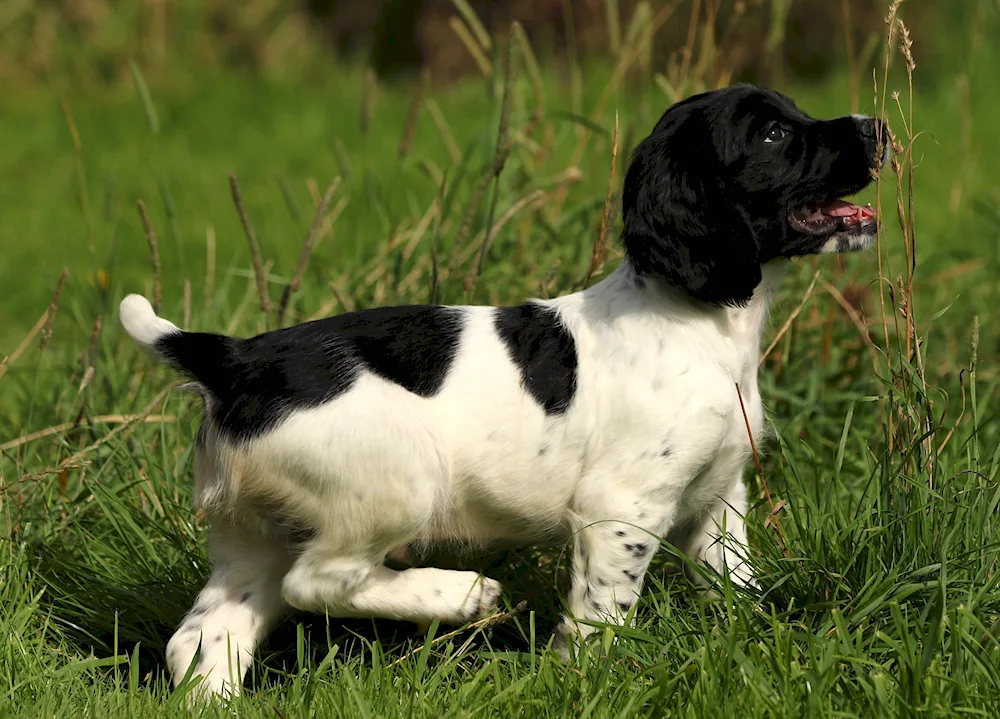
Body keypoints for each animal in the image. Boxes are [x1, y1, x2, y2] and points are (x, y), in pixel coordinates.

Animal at [119, 84, 892, 696]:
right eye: (774, 134)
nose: (878, 127)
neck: (696, 319)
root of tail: (236, 358)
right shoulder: (620, 507)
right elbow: (602, 614)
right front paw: (587, 680)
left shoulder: (718, 497)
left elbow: (736, 590)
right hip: (396, 481)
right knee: (318, 581)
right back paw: (462, 595)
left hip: (255, 529)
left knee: (204, 636)